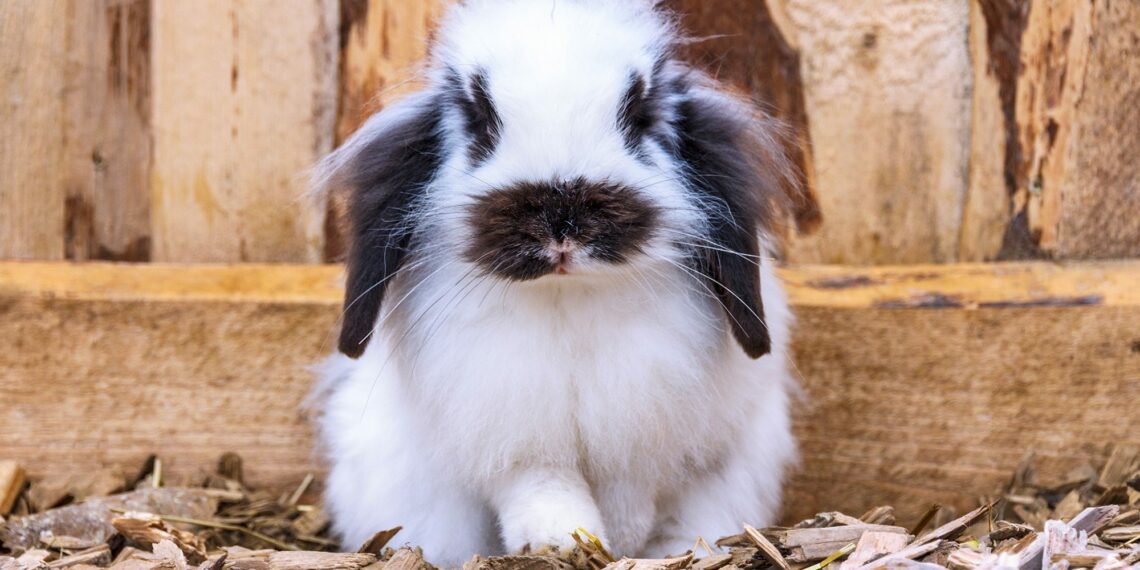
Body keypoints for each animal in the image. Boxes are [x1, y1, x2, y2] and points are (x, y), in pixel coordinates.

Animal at [311, 0, 799, 565]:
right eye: (480, 119)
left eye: (637, 113)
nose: (561, 217)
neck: (565, 295)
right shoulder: (510, 432)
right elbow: (540, 485)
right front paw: (564, 541)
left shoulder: (641, 430)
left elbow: (633, 492)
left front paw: (622, 542)